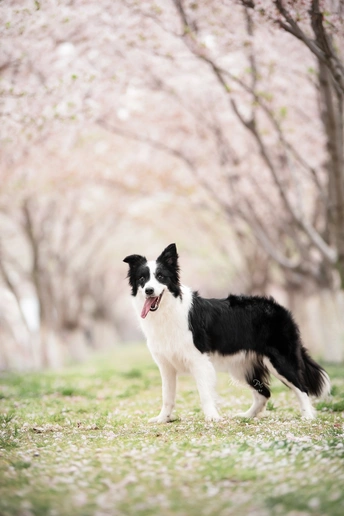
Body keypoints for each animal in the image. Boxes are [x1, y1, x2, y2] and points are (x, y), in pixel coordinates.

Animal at [123, 244, 330, 422]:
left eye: (160, 276)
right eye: (142, 279)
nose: (149, 290)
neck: (168, 310)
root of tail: (280, 308)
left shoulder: (198, 360)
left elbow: (204, 393)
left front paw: (212, 417)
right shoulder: (166, 365)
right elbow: (167, 396)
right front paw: (163, 419)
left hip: (280, 361)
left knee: (301, 388)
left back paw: (308, 416)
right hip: (242, 368)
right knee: (264, 393)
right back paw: (247, 416)